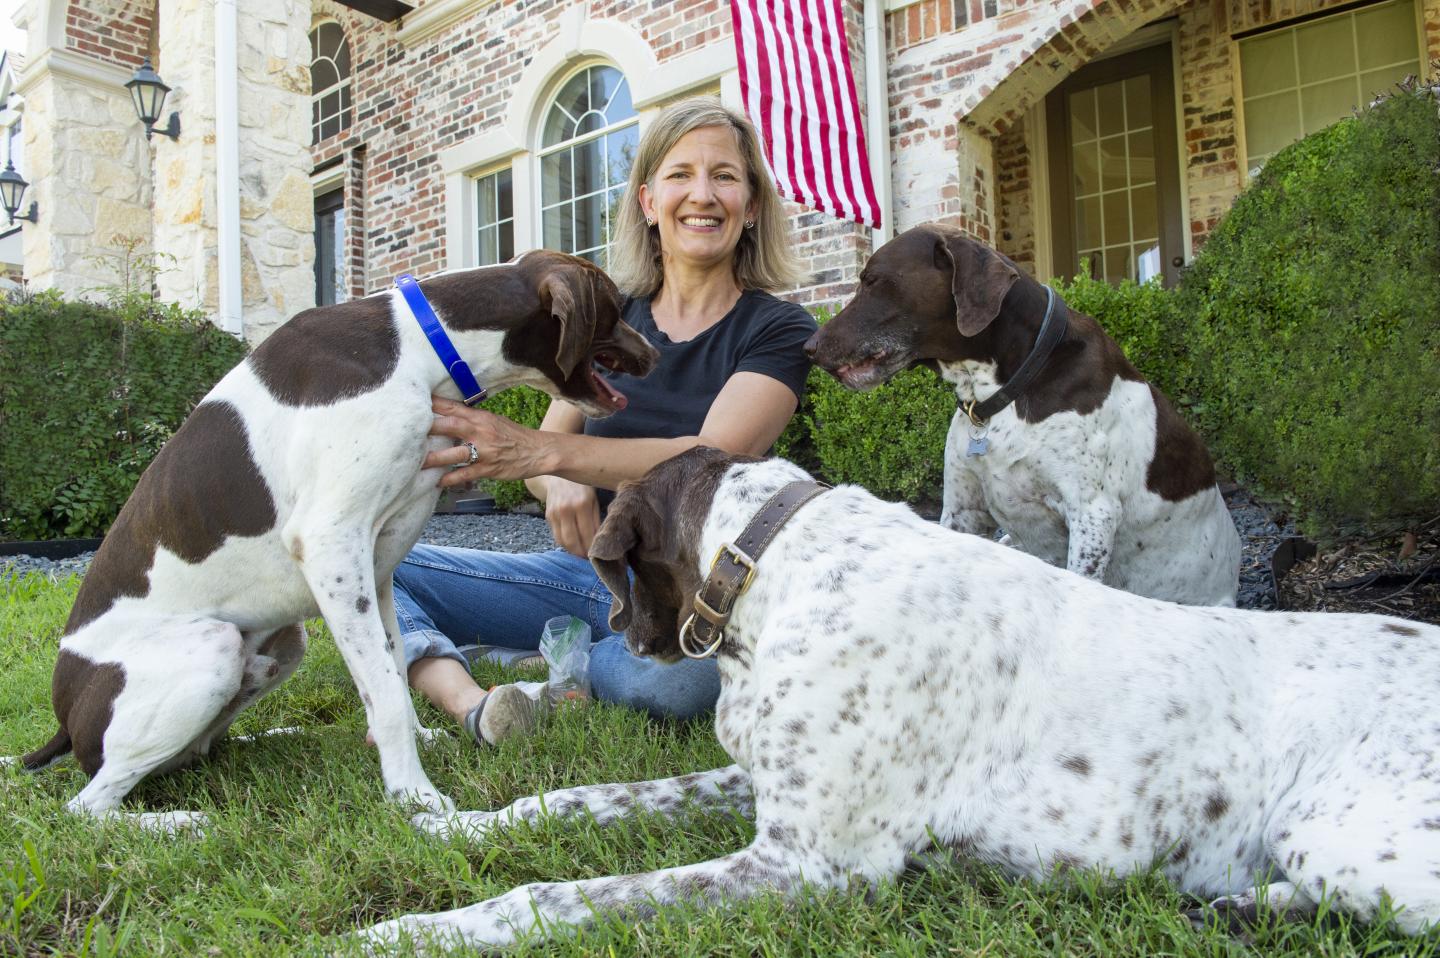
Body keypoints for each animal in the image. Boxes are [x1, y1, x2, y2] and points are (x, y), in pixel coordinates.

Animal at [5, 253, 656, 829]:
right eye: (615, 306)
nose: (653, 352)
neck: (419, 349)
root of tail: (65, 723)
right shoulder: (332, 546)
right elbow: (386, 691)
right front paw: (414, 795)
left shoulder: (379, 563)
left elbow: (393, 669)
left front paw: (415, 746)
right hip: (212, 647)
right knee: (87, 806)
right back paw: (182, 823)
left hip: (282, 643)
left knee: (199, 751)